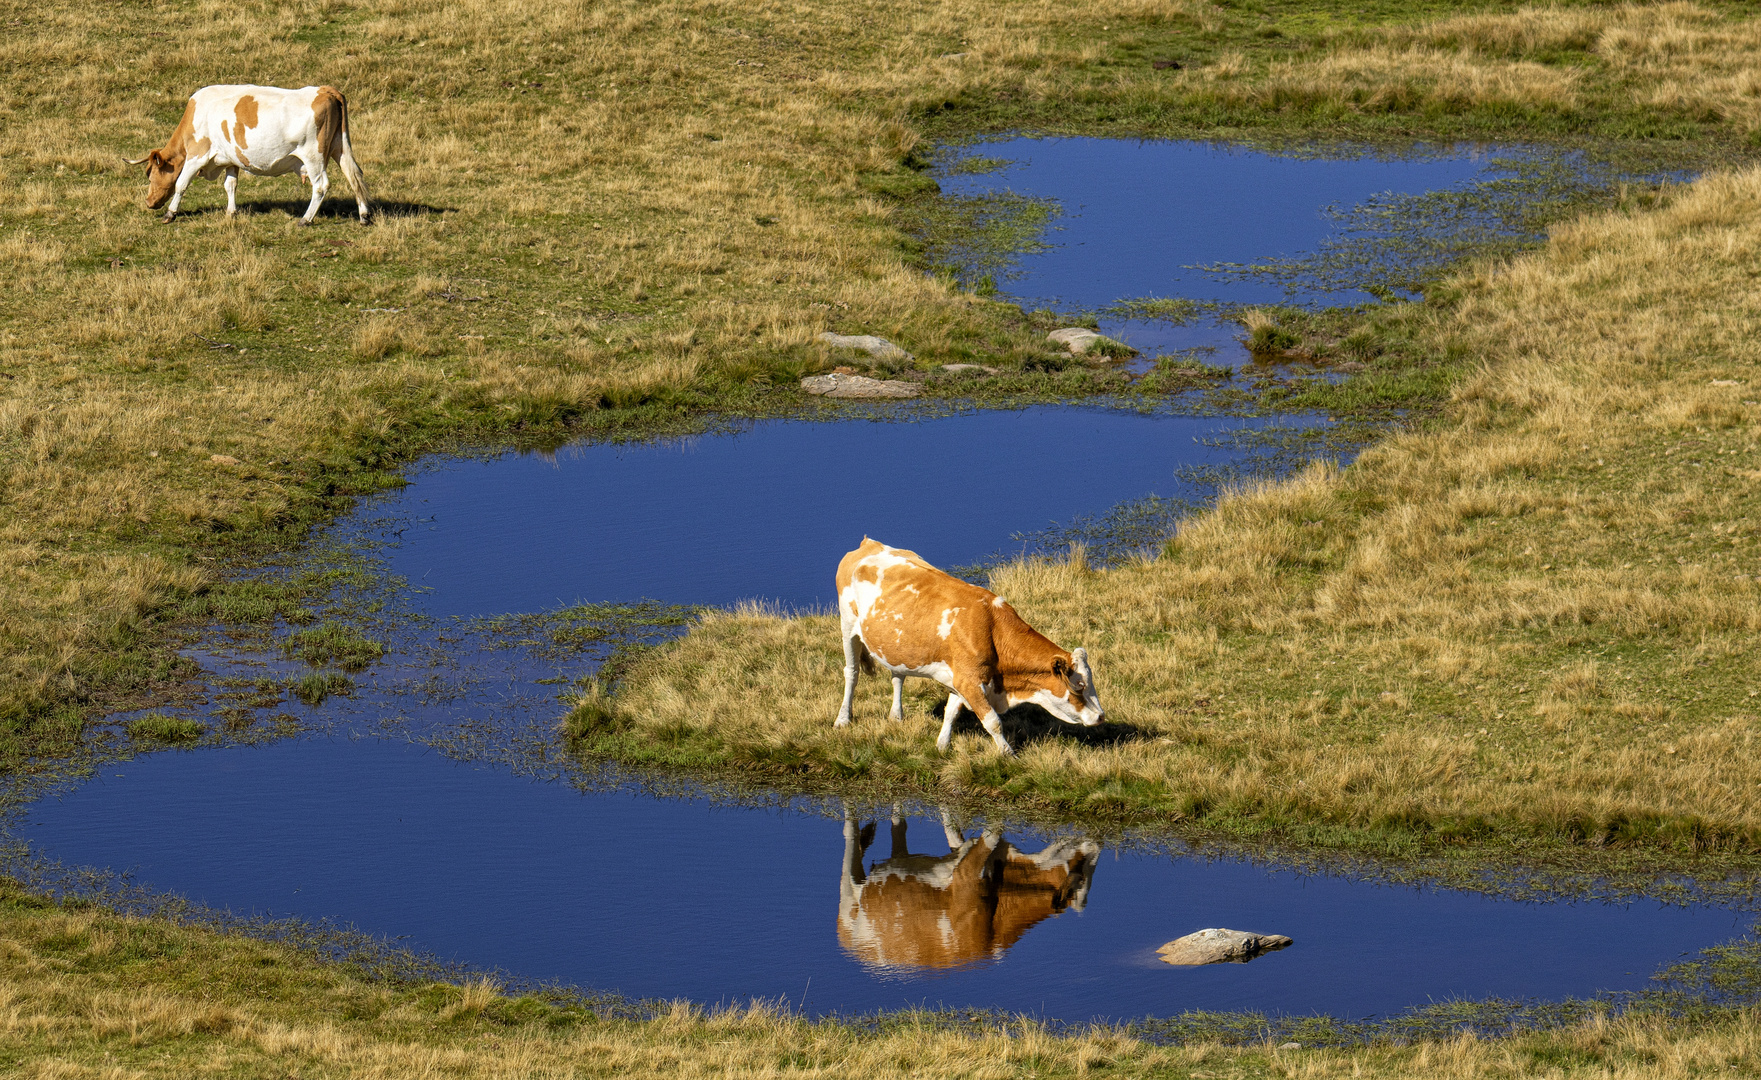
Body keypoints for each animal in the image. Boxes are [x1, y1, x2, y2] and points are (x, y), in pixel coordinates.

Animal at [126, 85, 371, 225]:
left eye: (151, 176)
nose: (149, 202)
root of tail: (325, 90)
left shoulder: (197, 155)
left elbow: (181, 184)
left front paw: (170, 213)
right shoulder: (230, 159)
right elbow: (230, 185)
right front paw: (231, 212)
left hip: (313, 156)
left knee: (320, 186)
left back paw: (306, 219)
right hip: (340, 147)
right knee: (354, 177)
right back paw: (364, 216)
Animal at [827, 535, 1098, 754]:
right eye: (1080, 685)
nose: (1100, 716)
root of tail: (869, 544)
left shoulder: (960, 677)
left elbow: (951, 712)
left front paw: (941, 745)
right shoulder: (969, 681)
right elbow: (993, 722)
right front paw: (1008, 755)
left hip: (896, 644)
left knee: (897, 676)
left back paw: (896, 715)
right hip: (847, 625)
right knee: (852, 672)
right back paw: (843, 719)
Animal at [838, 810, 1098, 965]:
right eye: (1080, 873)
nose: (1096, 844)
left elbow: (957, 832)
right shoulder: (966, 872)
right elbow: (994, 829)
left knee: (898, 827)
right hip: (849, 900)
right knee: (850, 836)